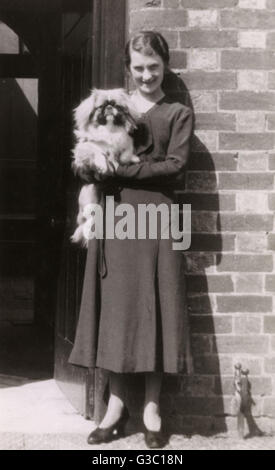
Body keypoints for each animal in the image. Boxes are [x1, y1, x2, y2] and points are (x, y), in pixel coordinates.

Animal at [71, 89, 140, 248]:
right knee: (88, 220)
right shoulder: (84, 149)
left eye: (116, 105)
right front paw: (103, 166)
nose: (109, 107)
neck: (110, 130)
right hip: (89, 196)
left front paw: (132, 159)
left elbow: (126, 153)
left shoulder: (125, 142)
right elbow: (99, 153)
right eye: (101, 106)